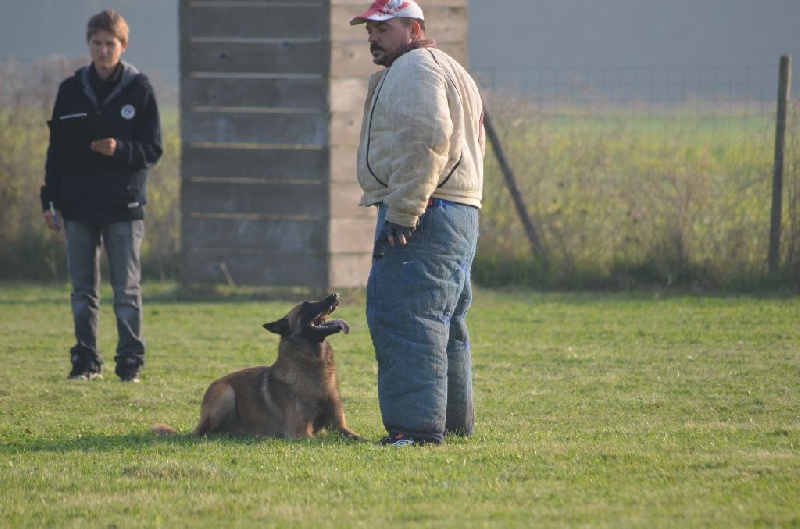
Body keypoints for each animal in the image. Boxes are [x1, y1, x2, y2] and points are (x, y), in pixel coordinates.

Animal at [151, 292, 362, 438]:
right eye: (306, 305)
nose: (334, 295)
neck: (314, 368)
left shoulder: (339, 426)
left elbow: (358, 438)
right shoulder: (300, 433)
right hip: (225, 393)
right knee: (207, 433)